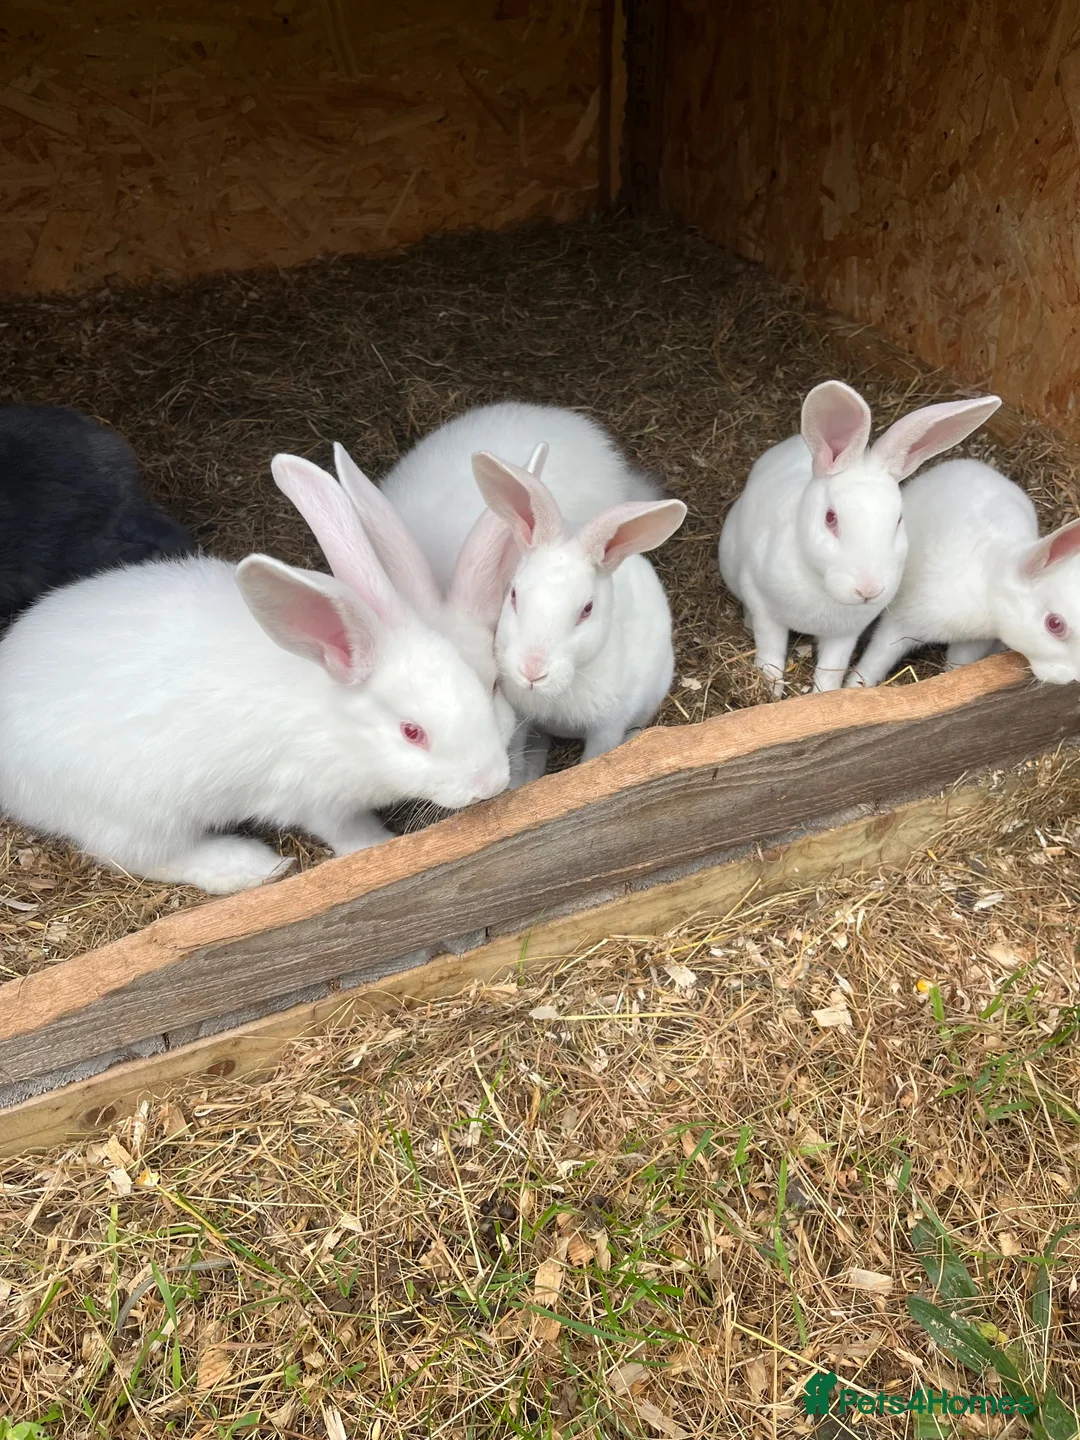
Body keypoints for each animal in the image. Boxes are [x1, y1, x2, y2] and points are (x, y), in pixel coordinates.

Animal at [0, 453, 510, 895]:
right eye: (411, 732)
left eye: (486, 688)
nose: (491, 784)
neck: (339, 723)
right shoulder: (314, 798)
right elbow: (347, 831)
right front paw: (380, 846)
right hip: (134, 811)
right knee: (140, 855)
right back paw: (250, 866)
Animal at [472, 449, 686, 782]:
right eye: (514, 595)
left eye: (587, 609)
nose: (532, 671)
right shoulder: (521, 718)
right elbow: (516, 754)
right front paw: (518, 783)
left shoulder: (608, 725)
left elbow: (594, 760)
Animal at [717, 381, 1002, 696]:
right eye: (830, 518)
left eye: (898, 520)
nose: (869, 590)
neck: (821, 587)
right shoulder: (764, 607)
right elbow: (771, 653)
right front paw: (771, 691)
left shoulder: (845, 635)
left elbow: (831, 670)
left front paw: (823, 696)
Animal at [845, 458, 1080, 688]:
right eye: (1055, 624)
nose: (1074, 678)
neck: (988, 584)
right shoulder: (900, 623)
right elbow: (876, 658)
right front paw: (853, 687)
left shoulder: (970, 642)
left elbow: (959, 663)